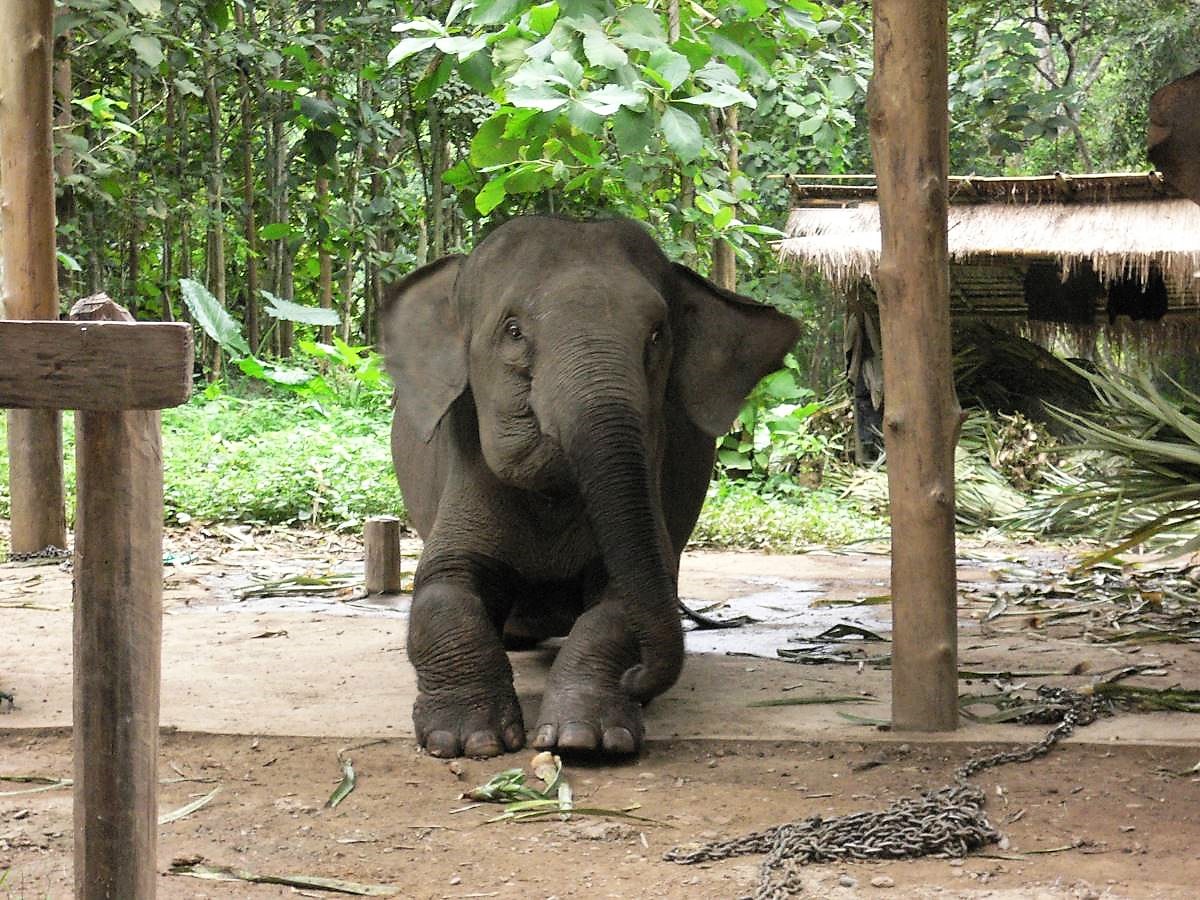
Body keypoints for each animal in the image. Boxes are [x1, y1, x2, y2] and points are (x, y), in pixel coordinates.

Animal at [381, 215, 799, 758]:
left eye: (657, 334)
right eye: (513, 331)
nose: (639, 678)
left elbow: (621, 605)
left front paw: (584, 739)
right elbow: (441, 589)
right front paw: (471, 740)